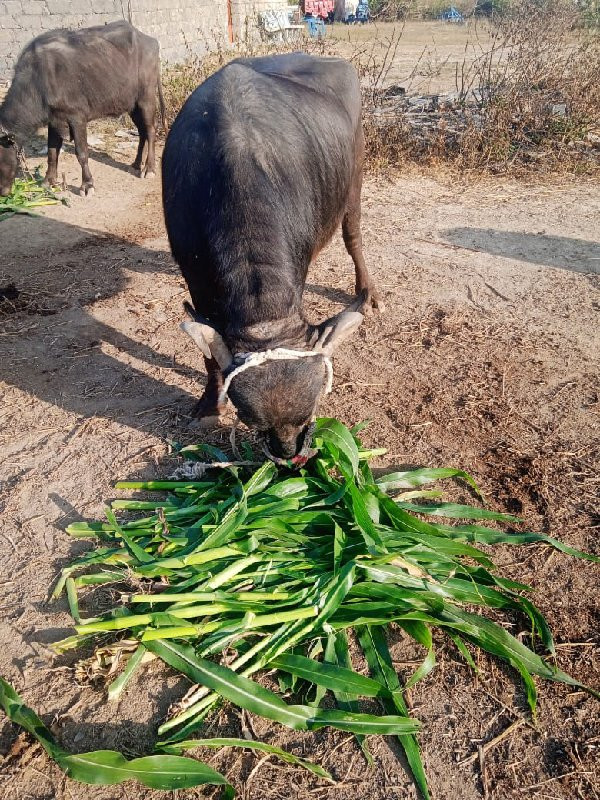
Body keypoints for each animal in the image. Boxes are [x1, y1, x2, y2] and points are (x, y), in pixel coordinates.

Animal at [0, 20, 164, 197]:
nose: (3, 192)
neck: (39, 81)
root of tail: (150, 41)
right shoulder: (54, 120)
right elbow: (52, 152)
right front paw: (48, 181)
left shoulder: (77, 117)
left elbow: (82, 152)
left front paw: (87, 185)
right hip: (132, 105)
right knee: (141, 131)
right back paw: (135, 164)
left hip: (146, 98)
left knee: (150, 130)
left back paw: (149, 168)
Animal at [162, 53, 382, 460]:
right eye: (252, 421)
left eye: (311, 410)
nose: (289, 453)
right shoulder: (194, 277)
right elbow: (208, 353)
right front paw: (208, 405)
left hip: (356, 174)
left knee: (353, 234)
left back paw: (370, 292)